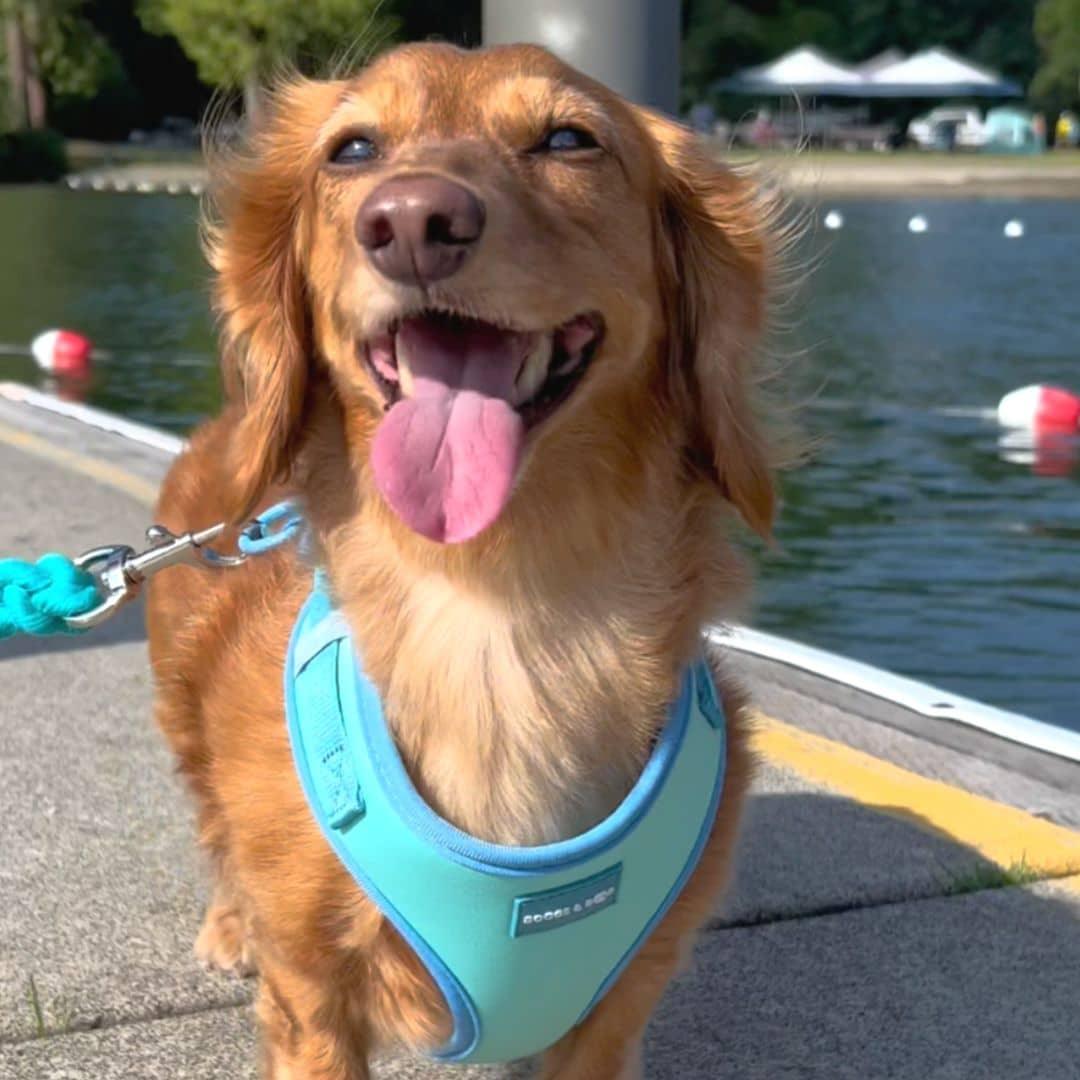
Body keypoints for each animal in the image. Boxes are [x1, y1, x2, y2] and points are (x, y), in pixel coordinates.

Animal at [147, 38, 781, 1075]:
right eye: (352, 149)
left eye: (569, 140)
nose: (411, 222)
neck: (500, 610)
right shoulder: (313, 1002)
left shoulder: (614, 1013)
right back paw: (227, 925)